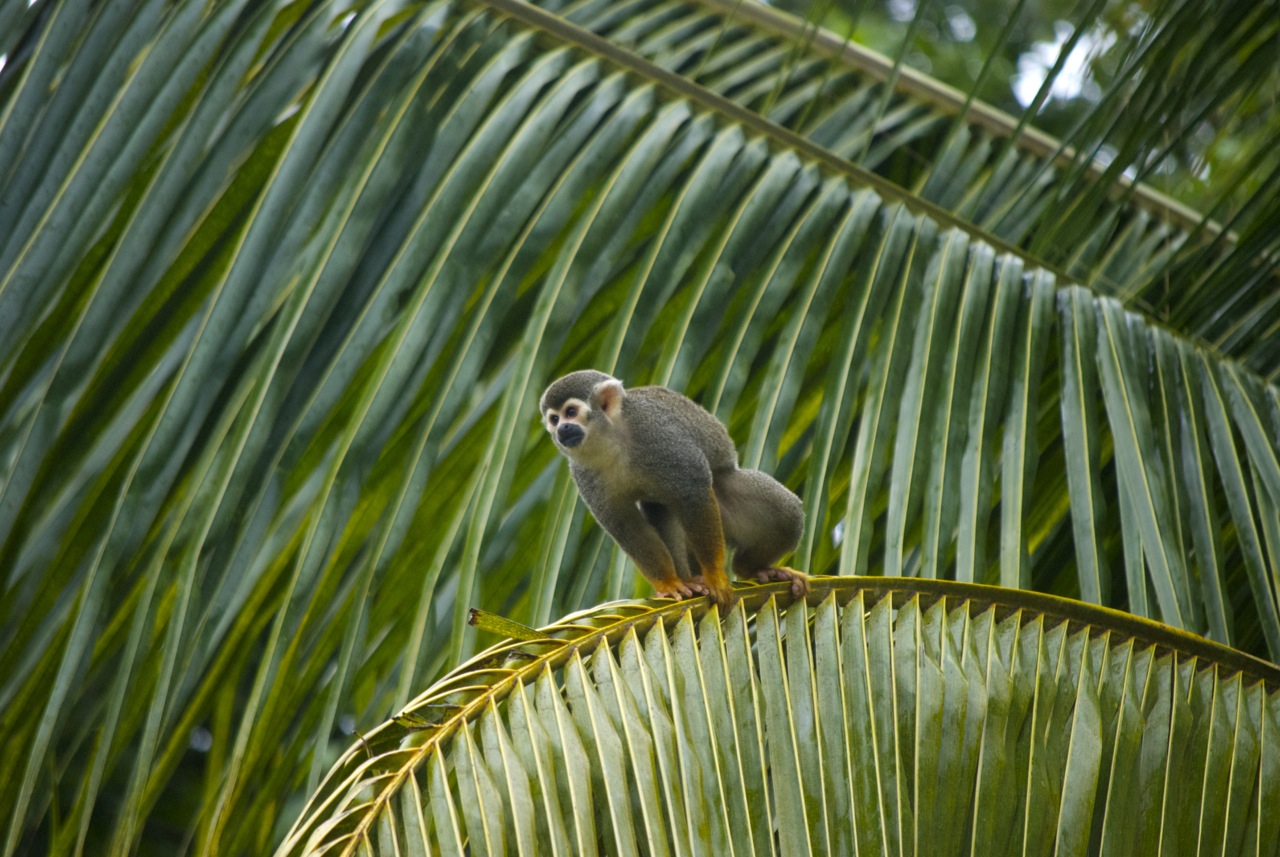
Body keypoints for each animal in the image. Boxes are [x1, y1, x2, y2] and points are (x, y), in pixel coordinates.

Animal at [539, 370, 807, 609]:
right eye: (554, 419)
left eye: (570, 412)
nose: (562, 429)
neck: (611, 440)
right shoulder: (583, 472)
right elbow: (626, 525)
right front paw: (668, 585)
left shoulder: (658, 435)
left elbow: (692, 491)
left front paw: (715, 577)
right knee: (661, 510)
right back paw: (691, 579)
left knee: (786, 513)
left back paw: (751, 568)